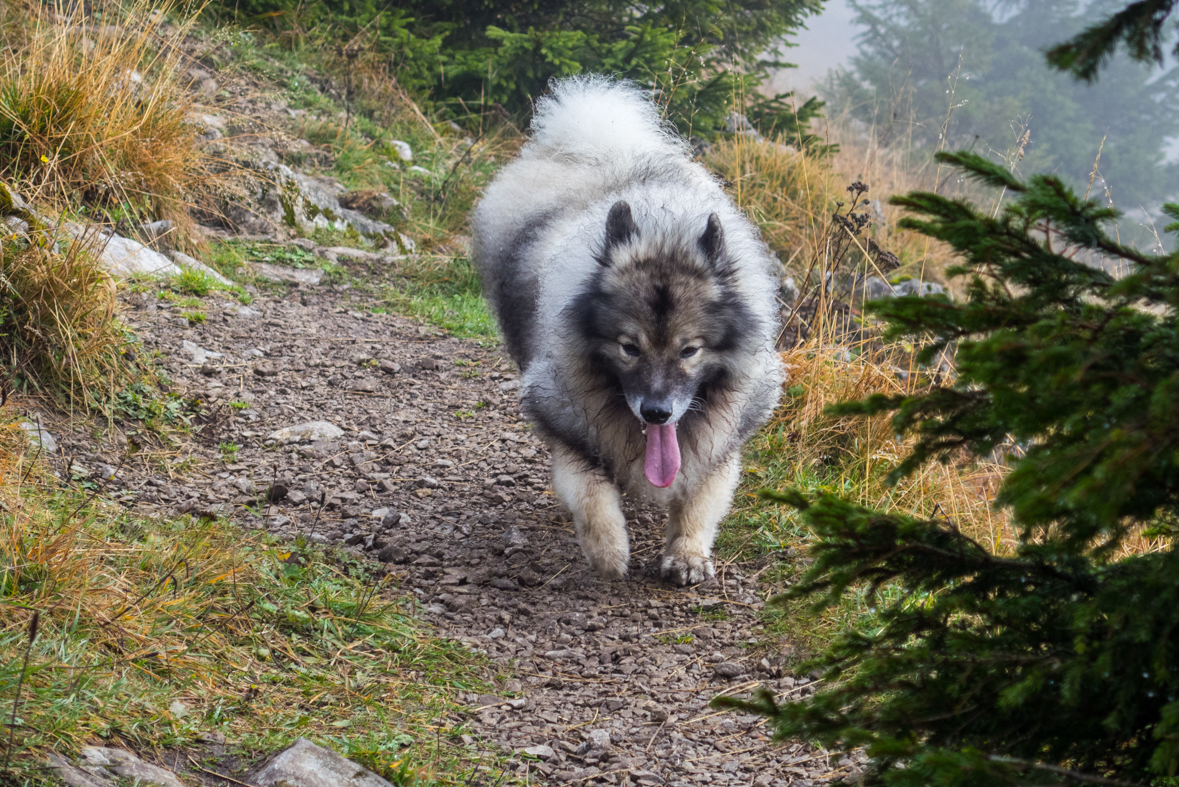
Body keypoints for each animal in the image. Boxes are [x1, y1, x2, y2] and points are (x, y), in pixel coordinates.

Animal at [469, 76, 782, 586]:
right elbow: (591, 493)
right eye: (628, 348)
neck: (665, 228)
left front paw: (688, 555)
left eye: (690, 350)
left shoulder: (724, 436)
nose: (656, 412)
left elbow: (700, 499)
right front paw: (608, 553)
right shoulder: (566, 422)